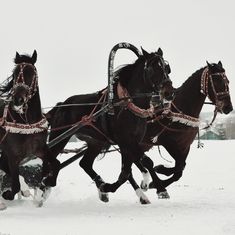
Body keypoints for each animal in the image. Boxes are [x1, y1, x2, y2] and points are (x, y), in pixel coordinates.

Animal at [47, 46, 173, 203]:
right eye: (152, 68)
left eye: (167, 68)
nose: (169, 93)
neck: (127, 105)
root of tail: (61, 105)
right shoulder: (126, 141)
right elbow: (140, 164)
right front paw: (157, 189)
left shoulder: (132, 142)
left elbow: (130, 168)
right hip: (59, 137)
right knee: (49, 161)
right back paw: (43, 189)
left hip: (96, 142)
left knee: (85, 163)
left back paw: (100, 186)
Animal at [140, 60, 233, 196]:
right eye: (216, 81)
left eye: (227, 81)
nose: (228, 107)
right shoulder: (169, 143)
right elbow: (179, 167)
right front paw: (160, 174)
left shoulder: (184, 146)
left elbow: (180, 170)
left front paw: (158, 176)